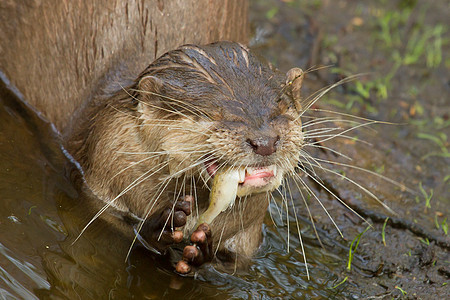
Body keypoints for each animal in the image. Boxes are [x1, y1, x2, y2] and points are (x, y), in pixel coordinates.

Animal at [66, 41, 306, 274]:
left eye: (282, 109)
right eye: (211, 114)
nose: (265, 142)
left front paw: (201, 250)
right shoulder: (101, 178)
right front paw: (164, 226)